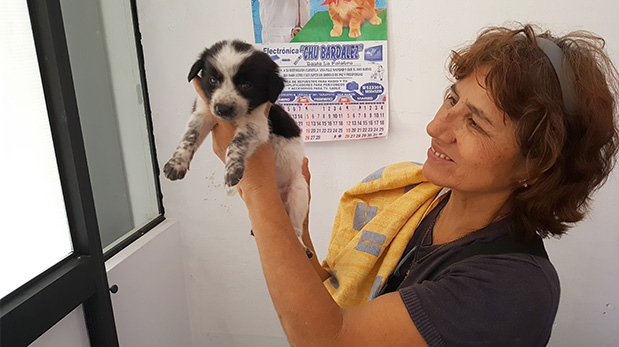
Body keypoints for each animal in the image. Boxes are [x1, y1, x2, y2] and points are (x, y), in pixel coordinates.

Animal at [162, 40, 312, 258]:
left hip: (299, 192)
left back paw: (302, 246)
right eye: (213, 80)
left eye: (246, 85)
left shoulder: (257, 125)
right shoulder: (203, 112)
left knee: (295, 228)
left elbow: (235, 143)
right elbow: (189, 137)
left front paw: (232, 169)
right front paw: (176, 164)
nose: (222, 109)